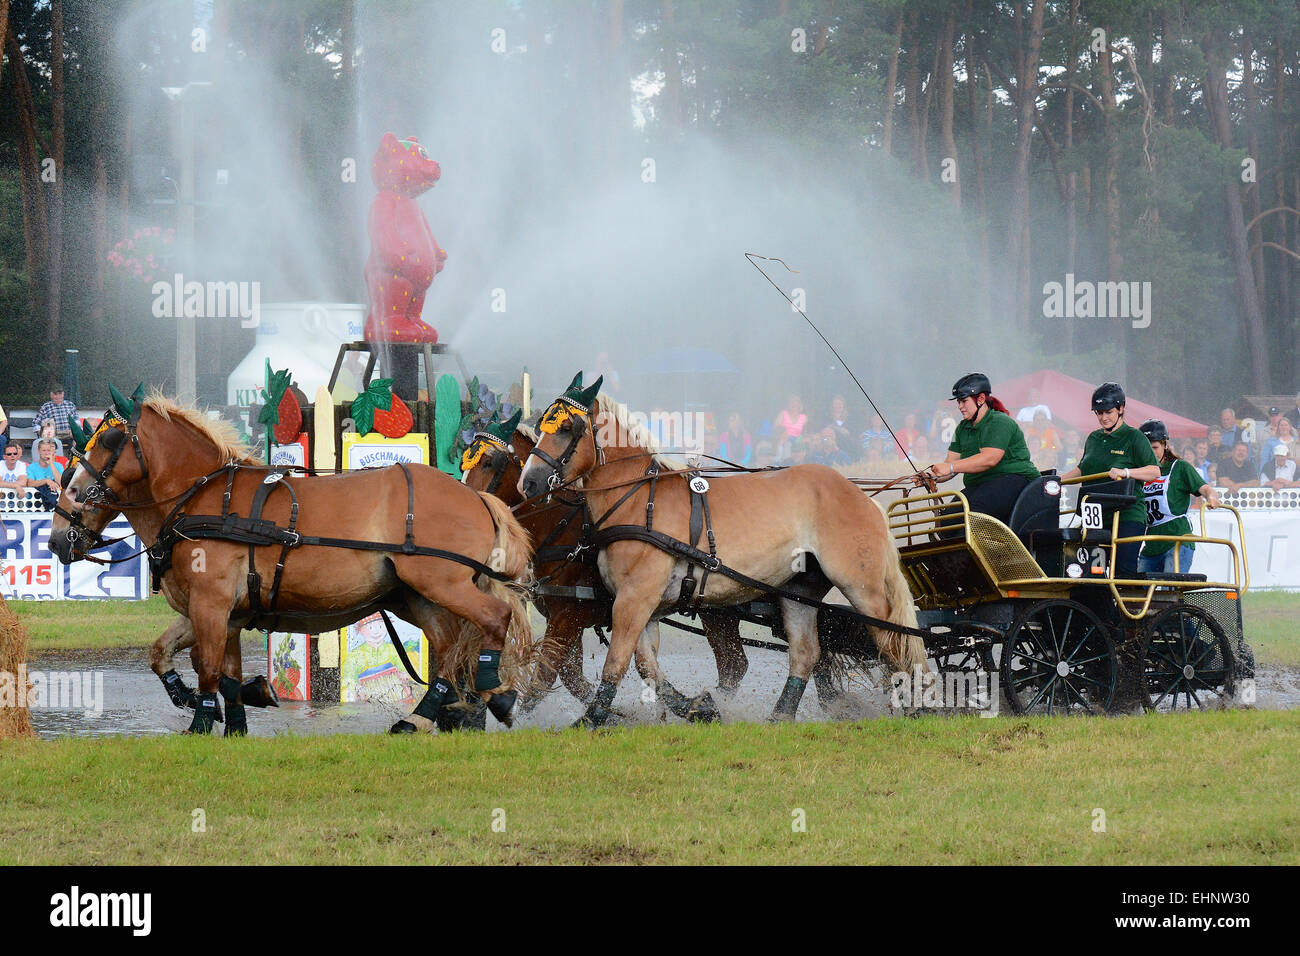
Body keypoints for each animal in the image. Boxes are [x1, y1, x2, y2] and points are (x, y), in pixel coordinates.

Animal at [49, 385, 527, 738]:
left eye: (108, 440)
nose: (57, 538)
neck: (201, 499)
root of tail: (475, 496)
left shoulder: (211, 604)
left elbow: (207, 668)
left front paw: (201, 721)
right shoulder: (225, 612)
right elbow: (177, 658)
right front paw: (232, 715)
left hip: (442, 584)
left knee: (493, 619)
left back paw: (494, 693)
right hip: (413, 595)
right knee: (447, 650)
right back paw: (420, 717)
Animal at [514, 374, 925, 723]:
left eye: (566, 428)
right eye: (541, 425)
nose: (528, 483)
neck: (638, 500)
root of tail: (861, 495)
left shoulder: (633, 598)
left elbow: (614, 661)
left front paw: (591, 719)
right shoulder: (644, 606)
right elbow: (647, 666)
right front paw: (697, 706)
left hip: (861, 586)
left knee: (893, 640)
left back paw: (911, 705)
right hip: (799, 590)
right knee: (807, 653)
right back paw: (779, 716)